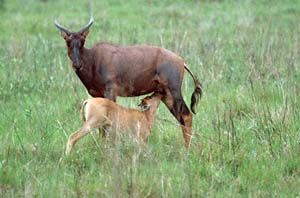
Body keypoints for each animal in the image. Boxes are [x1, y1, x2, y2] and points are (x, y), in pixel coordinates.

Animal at [55, 16, 203, 147]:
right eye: (67, 40)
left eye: (82, 40)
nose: (77, 65)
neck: (94, 58)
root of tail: (181, 61)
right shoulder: (96, 95)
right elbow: (102, 128)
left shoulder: (110, 91)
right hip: (166, 94)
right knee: (181, 117)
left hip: (174, 91)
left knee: (186, 116)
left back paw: (187, 150)